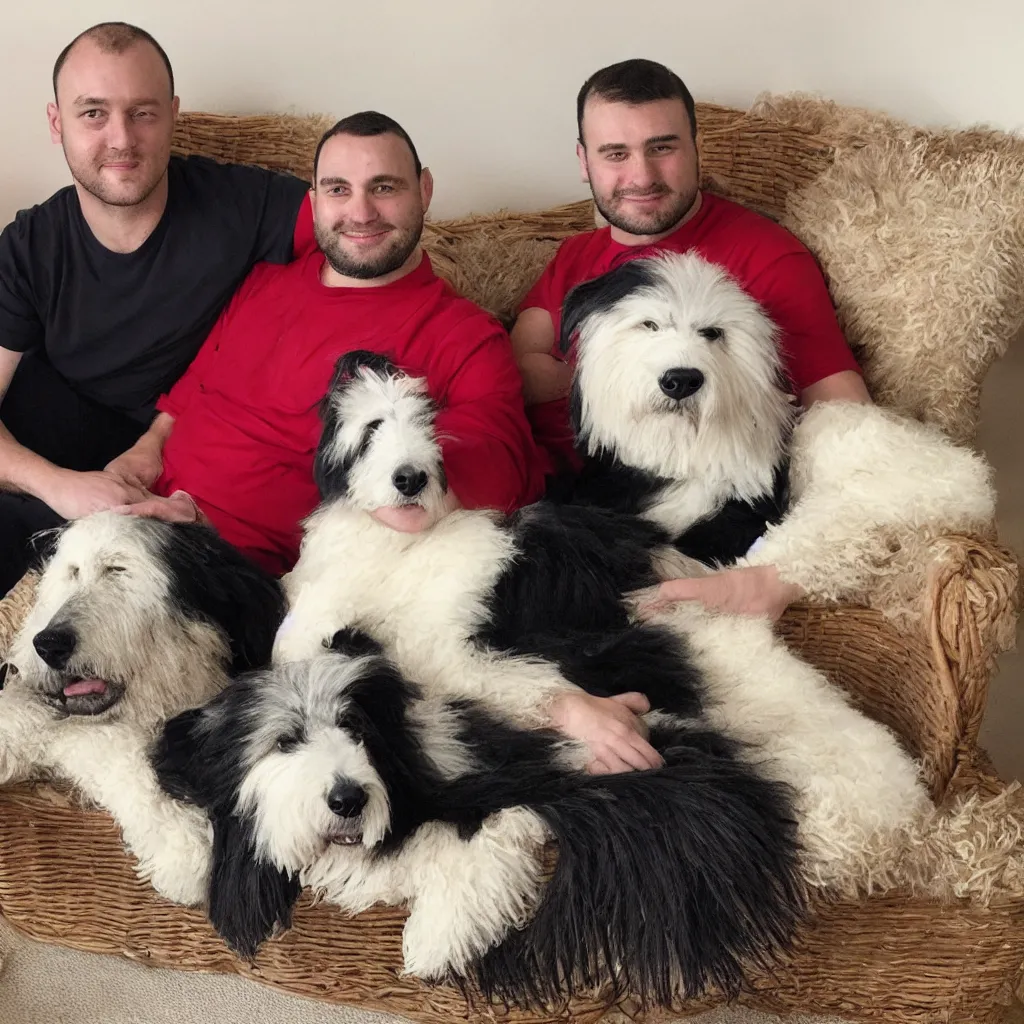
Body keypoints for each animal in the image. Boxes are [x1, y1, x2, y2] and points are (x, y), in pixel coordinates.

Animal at [151, 630, 806, 1007]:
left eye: (355, 728)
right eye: (284, 741)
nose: (349, 799)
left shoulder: (533, 784)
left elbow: (489, 837)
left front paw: (435, 942)